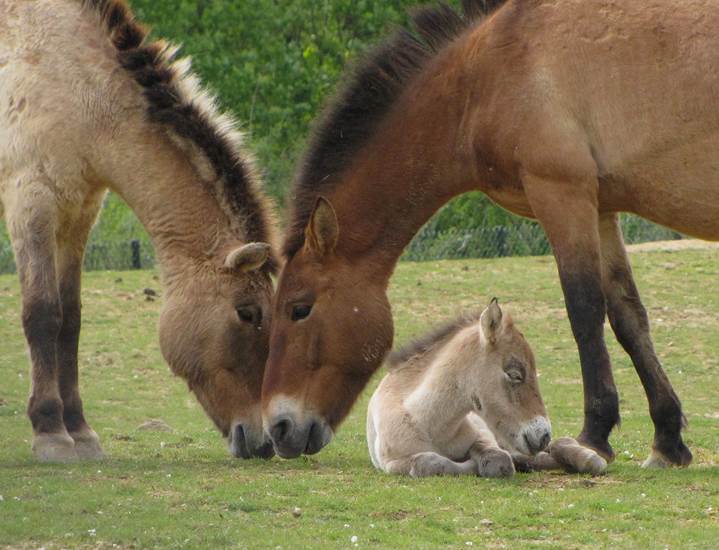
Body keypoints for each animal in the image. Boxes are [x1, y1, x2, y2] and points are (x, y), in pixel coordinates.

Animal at [0, 1, 278, 462]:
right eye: (247, 312)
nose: (264, 443)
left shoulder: (79, 214)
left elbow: (70, 319)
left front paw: (80, 431)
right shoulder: (32, 203)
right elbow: (42, 313)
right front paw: (51, 432)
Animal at [366, 302, 608, 478]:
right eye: (515, 374)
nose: (543, 435)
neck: (430, 423)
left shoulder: (483, 436)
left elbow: (498, 461)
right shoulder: (392, 462)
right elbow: (428, 463)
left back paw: (588, 458)